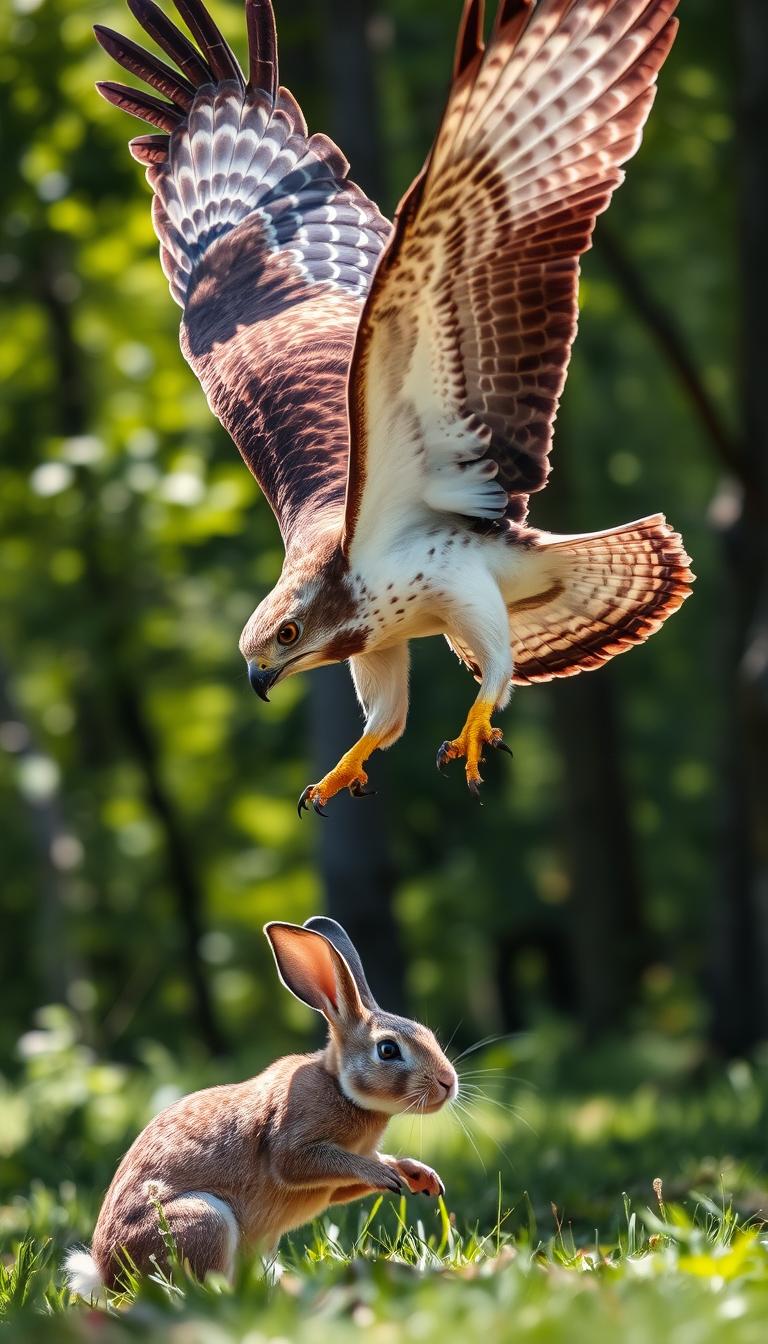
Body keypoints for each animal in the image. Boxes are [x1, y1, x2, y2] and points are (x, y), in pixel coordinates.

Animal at [65, 916, 458, 1296]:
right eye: (388, 1050)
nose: (448, 1082)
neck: (339, 1087)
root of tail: (105, 1274)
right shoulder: (294, 1143)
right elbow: (300, 1162)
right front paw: (386, 1174)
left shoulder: (336, 1184)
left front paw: (417, 1175)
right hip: (202, 1219)